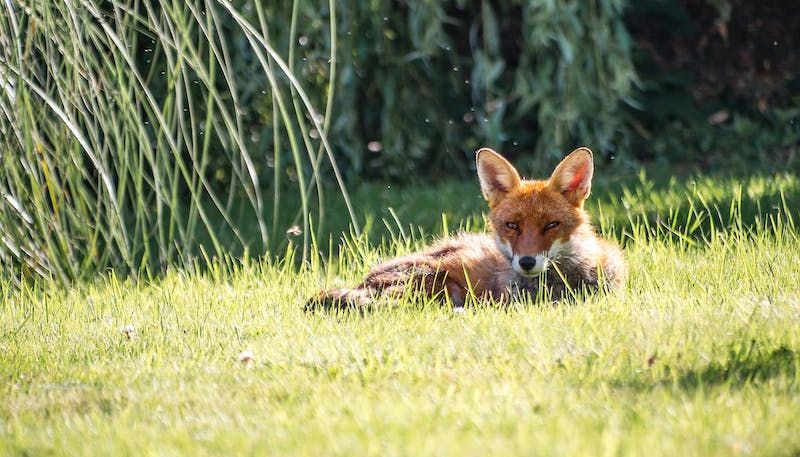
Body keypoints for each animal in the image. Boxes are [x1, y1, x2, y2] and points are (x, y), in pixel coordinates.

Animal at [307, 147, 626, 310]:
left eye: (551, 225)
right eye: (512, 226)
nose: (526, 262)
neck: (564, 283)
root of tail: (364, 281)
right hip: (440, 283)